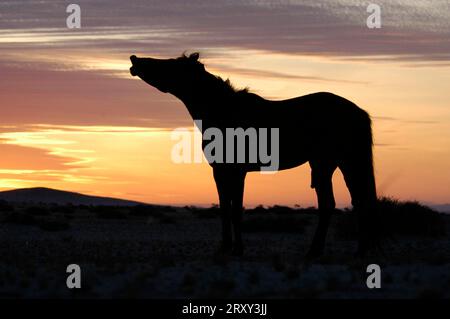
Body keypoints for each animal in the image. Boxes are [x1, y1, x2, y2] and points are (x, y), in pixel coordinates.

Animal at [131, 52, 380, 258]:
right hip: (340, 163)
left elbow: (235, 211)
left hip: (328, 163)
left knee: (336, 203)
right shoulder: (221, 171)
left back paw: (318, 252)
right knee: (354, 201)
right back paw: (354, 250)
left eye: (171, 65)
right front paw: (226, 248)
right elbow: (225, 209)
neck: (223, 111)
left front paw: (236, 249)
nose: (135, 60)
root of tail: (357, 111)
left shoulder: (236, 171)